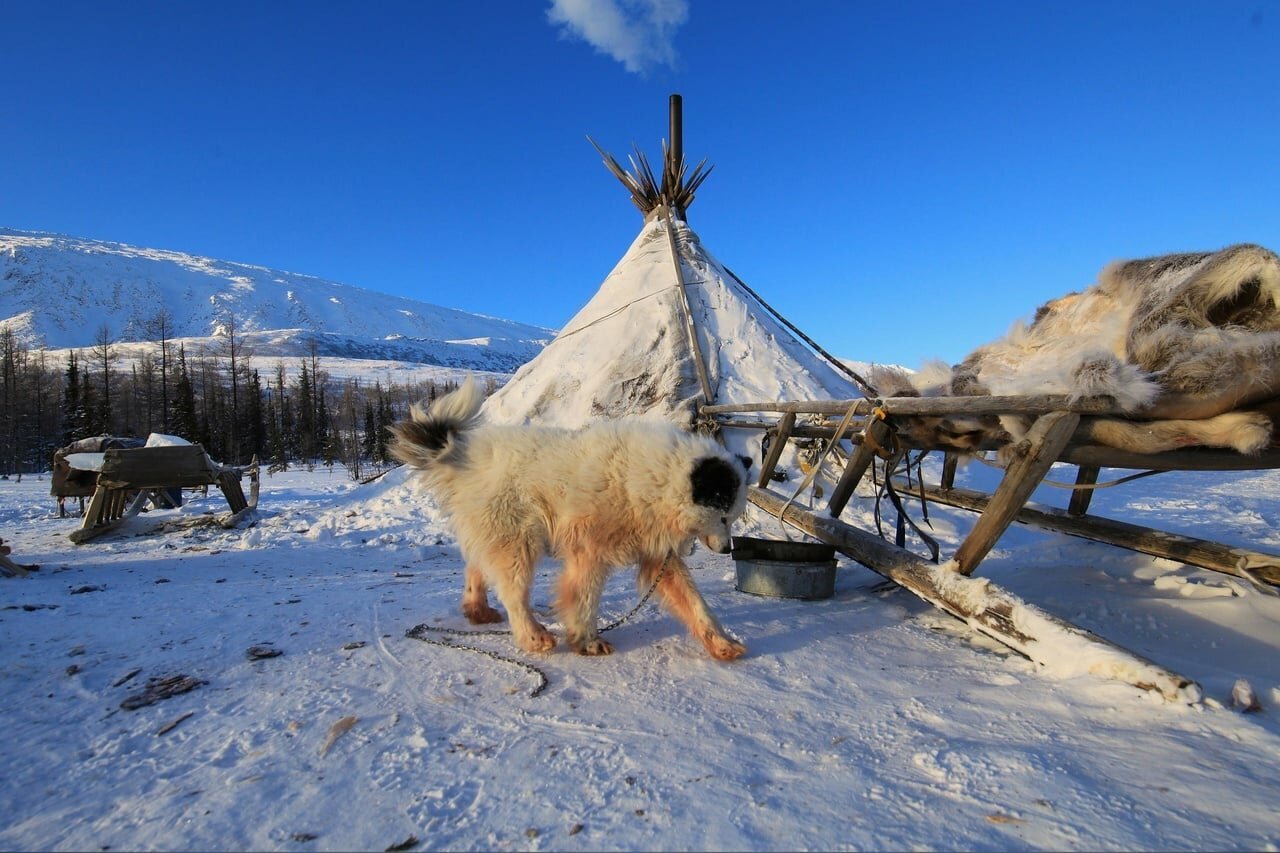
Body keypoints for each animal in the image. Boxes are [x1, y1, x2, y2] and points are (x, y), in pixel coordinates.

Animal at [389, 376, 747, 655]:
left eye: (732, 517)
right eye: (723, 516)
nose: (728, 549)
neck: (657, 480)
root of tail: (464, 455)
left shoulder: (660, 558)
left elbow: (696, 603)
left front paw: (721, 643)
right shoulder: (588, 552)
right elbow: (583, 598)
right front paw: (587, 641)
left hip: (496, 533)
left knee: (477, 568)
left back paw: (477, 610)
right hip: (518, 541)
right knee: (513, 593)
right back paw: (533, 636)